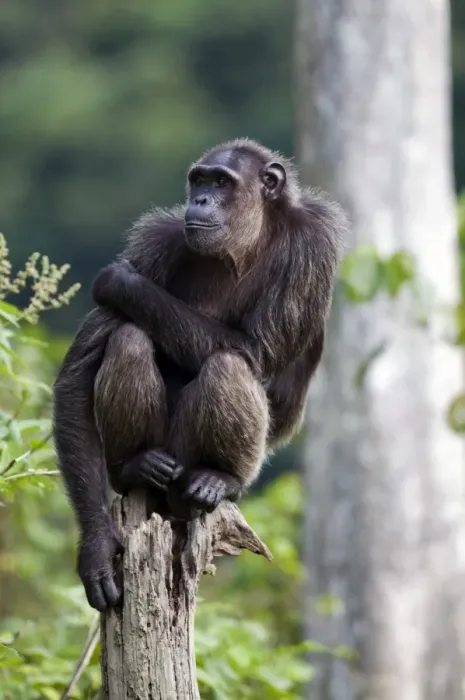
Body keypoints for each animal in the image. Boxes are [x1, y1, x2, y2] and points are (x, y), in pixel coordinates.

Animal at [53, 138, 346, 612]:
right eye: (200, 180)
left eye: (222, 182)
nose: (202, 199)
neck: (248, 242)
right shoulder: (155, 242)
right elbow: (77, 376)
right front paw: (97, 551)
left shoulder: (314, 243)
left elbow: (257, 351)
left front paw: (121, 282)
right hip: (162, 460)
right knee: (129, 338)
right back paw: (136, 466)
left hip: (202, 462)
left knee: (229, 363)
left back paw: (218, 479)